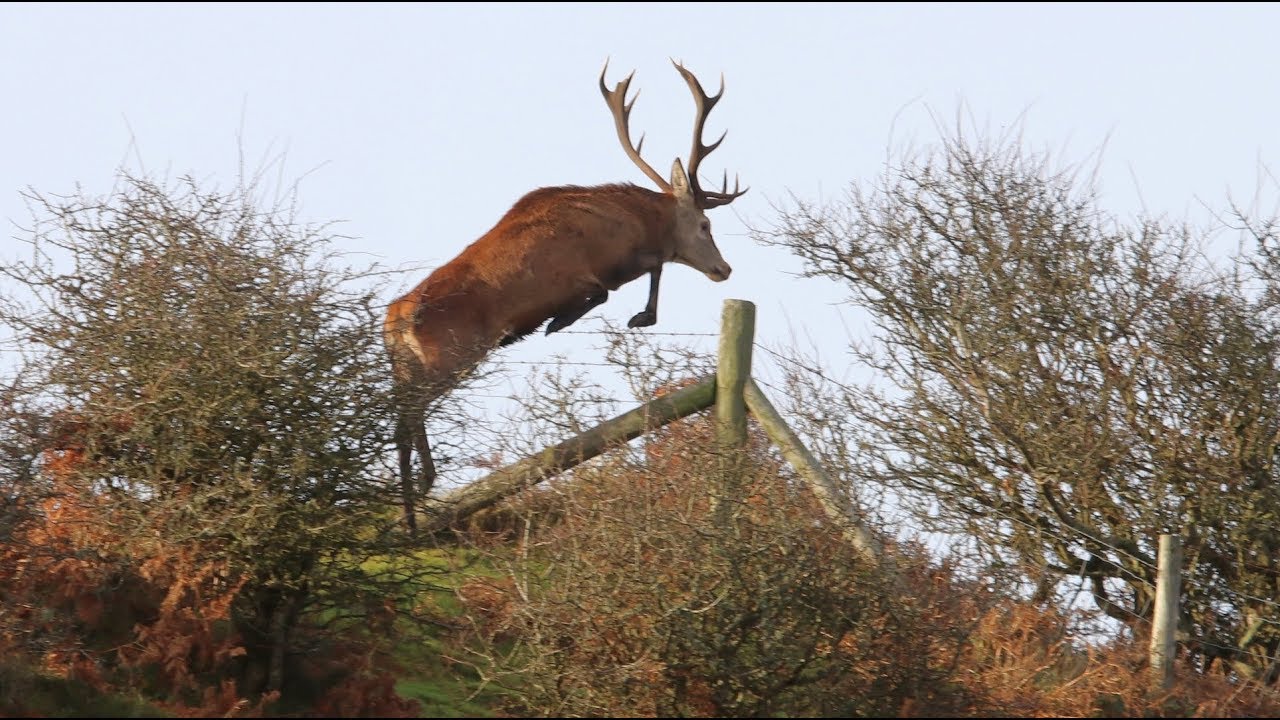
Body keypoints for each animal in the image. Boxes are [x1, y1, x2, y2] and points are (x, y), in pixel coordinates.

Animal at [384, 60, 747, 531]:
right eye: (705, 225)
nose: (725, 268)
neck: (630, 222)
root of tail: (395, 319)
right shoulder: (587, 271)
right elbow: (630, 279)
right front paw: (584, 320)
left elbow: (646, 271)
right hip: (449, 356)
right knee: (408, 416)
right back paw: (420, 497)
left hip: (404, 365)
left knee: (399, 418)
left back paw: (408, 511)